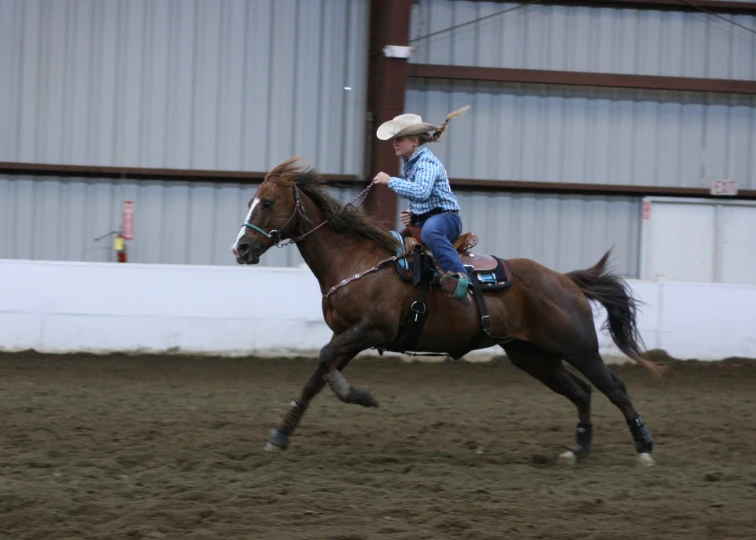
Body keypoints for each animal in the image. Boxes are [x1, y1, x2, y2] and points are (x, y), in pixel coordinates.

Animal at [233, 158, 660, 466]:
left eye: (267, 202)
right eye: (251, 201)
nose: (240, 248)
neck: (355, 261)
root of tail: (565, 280)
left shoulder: (371, 330)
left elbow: (324, 361)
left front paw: (361, 396)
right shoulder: (347, 335)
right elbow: (317, 375)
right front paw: (281, 434)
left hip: (579, 348)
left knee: (614, 388)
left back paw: (644, 446)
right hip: (533, 355)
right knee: (581, 391)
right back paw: (579, 449)